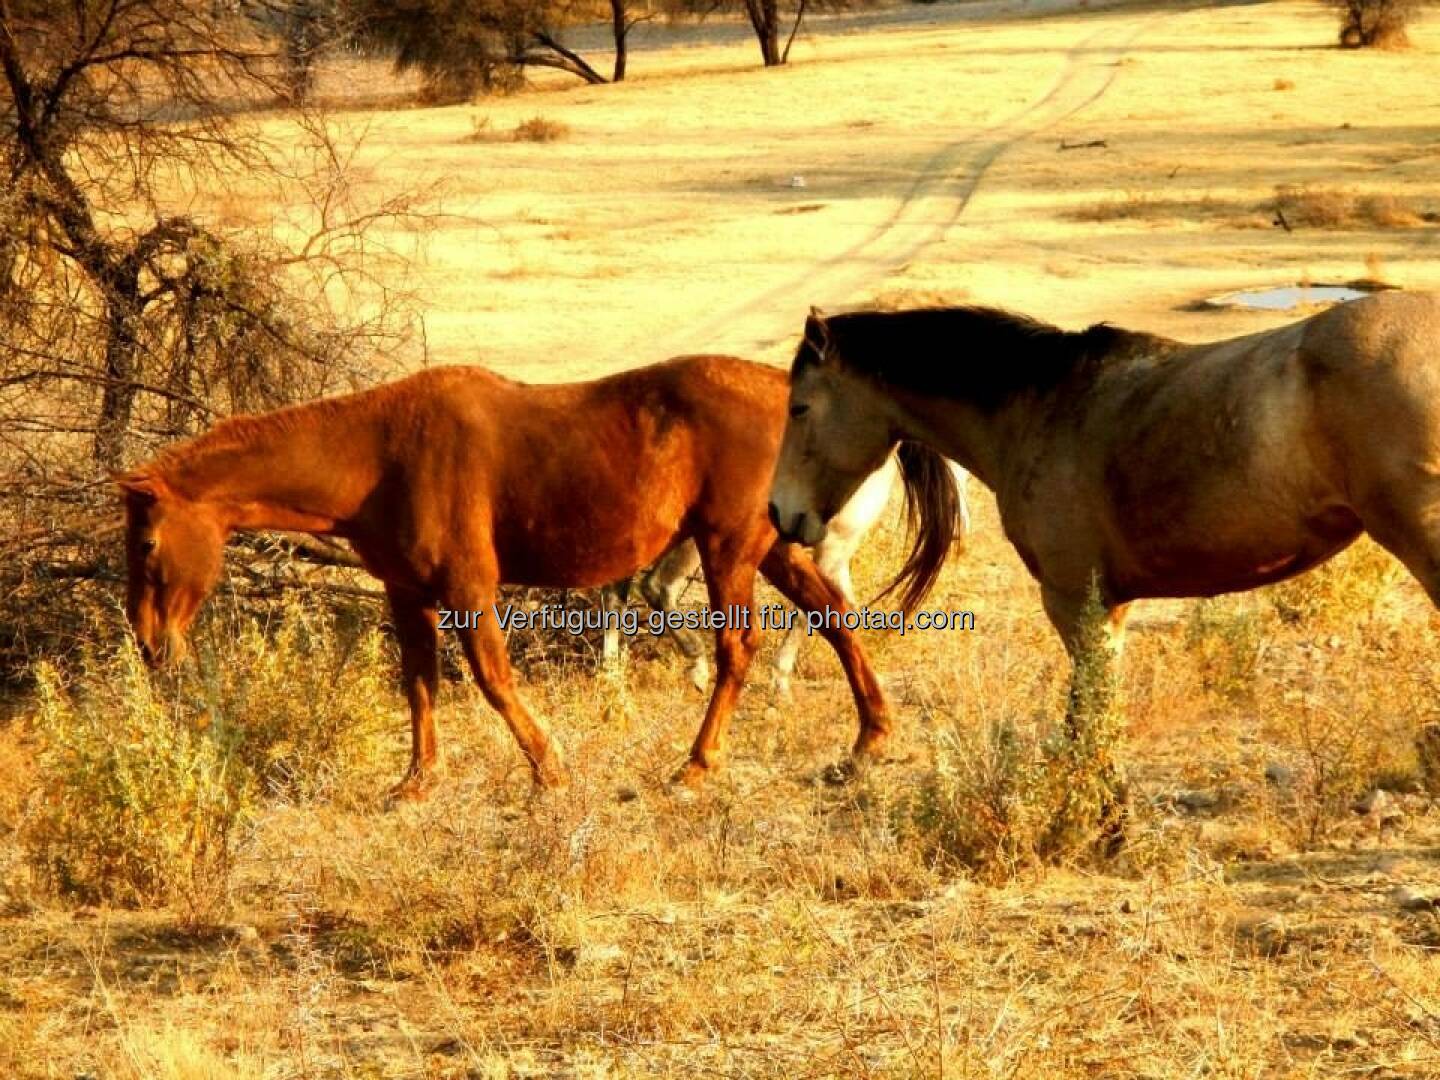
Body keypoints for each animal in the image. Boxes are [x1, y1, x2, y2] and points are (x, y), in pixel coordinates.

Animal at [120, 352, 898, 794]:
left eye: (148, 545)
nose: (149, 645)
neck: (380, 455)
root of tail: (778, 392)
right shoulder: (409, 594)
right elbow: (419, 684)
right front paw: (417, 780)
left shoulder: (469, 589)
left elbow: (494, 680)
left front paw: (547, 769)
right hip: (769, 546)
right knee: (833, 616)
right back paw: (869, 738)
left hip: (727, 546)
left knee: (739, 647)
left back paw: (697, 765)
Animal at [601, 452, 973, 696]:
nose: (964, 528)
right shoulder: (832, 548)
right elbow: (817, 612)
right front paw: (779, 681)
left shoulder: (837, 556)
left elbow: (844, 610)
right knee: (657, 586)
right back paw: (696, 668)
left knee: (619, 590)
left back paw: (610, 672)